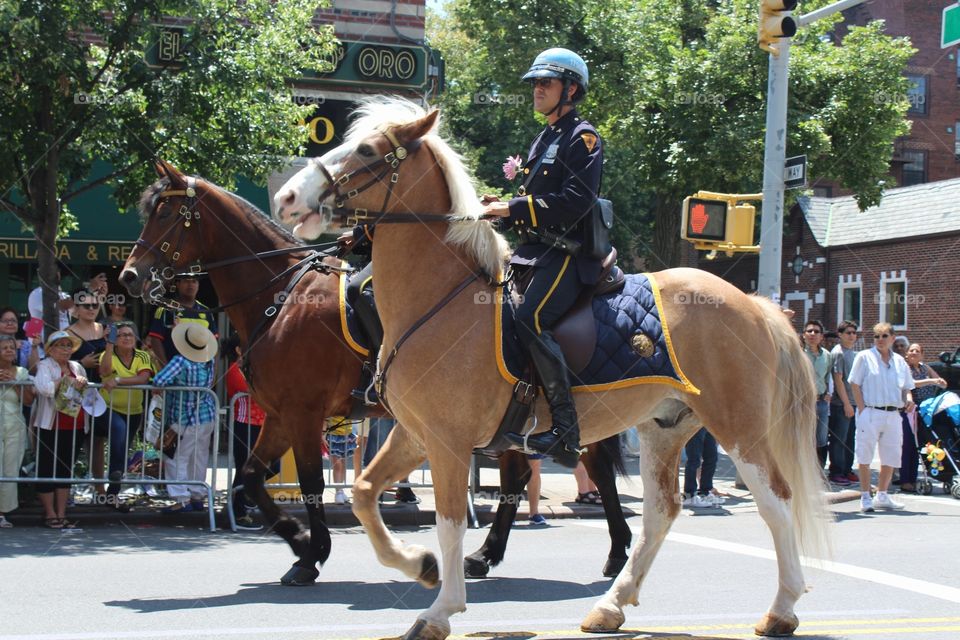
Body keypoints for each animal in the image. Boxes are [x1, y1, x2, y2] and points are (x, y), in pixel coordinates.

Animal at [118, 160, 632, 584]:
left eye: (165, 213)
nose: (128, 276)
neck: (282, 297)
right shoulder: (280, 415)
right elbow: (249, 476)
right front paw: (297, 539)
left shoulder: (303, 413)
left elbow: (310, 483)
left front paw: (311, 554)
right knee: (524, 476)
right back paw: (492, 556)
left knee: (589, 469)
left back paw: (614, 552)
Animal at [274, 96, 828, 640]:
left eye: (367, 150)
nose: (286, 198)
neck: (439, 299)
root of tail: (753, 302)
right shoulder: (413, 433)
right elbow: (365, 494)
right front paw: (419, 564)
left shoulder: (448, 441)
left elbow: (451, 522)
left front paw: (440, 608)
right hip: (665, 427)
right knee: (661, 511)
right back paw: (611, 605)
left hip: (739, 426)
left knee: (776, 500)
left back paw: (782, 609)